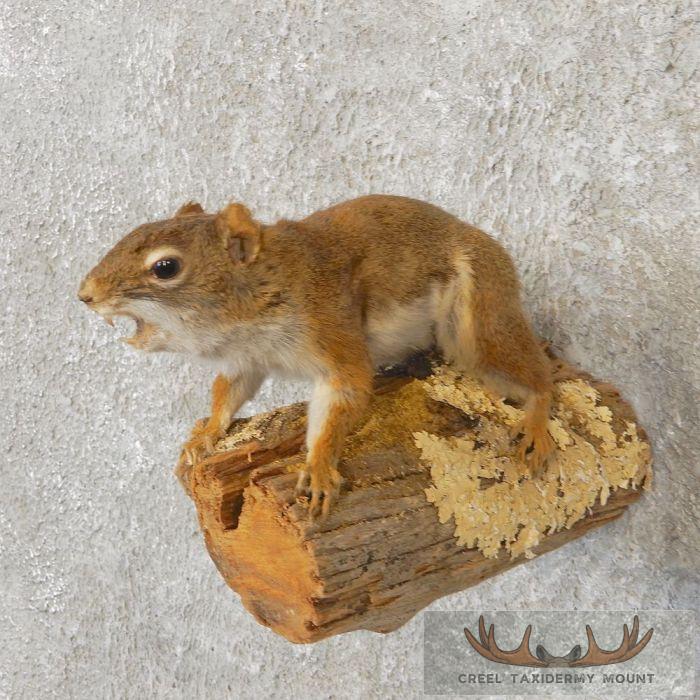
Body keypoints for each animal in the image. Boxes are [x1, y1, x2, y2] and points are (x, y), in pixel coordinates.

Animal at [79, 195, 555, 516]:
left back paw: (536, 420)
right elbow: (227, 394)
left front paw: (320, 467)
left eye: (166, 268)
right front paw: (206, 433)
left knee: (536, 375)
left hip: (479, 325)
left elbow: (343, 396)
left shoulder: (333, 333)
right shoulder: (245, 361)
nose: (84, 295)